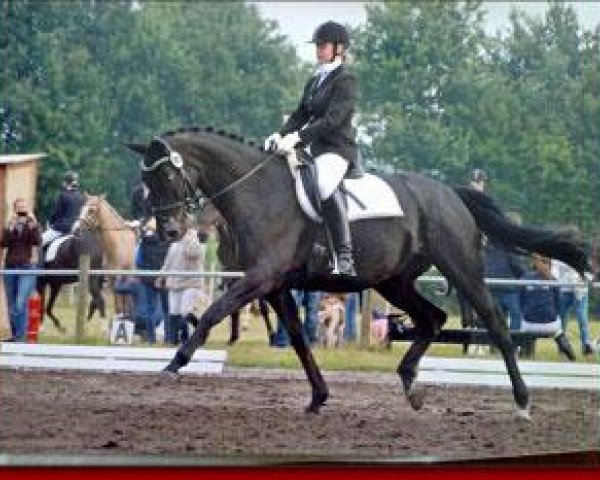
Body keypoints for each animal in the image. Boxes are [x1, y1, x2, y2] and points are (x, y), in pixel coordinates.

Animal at [124, 127, 588, 420]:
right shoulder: (276, 287)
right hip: (393, 281)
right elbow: (298, 339)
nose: (168, 231)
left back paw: (522, 402)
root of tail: (450, 193)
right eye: (145, 183)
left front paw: (175, 363)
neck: (258, 193)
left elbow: (211, 313)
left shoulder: (259, 278)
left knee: (494, 324)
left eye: (166, 176)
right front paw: (318, 397)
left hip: (462, 268)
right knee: (432, 319)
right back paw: (411, 385)